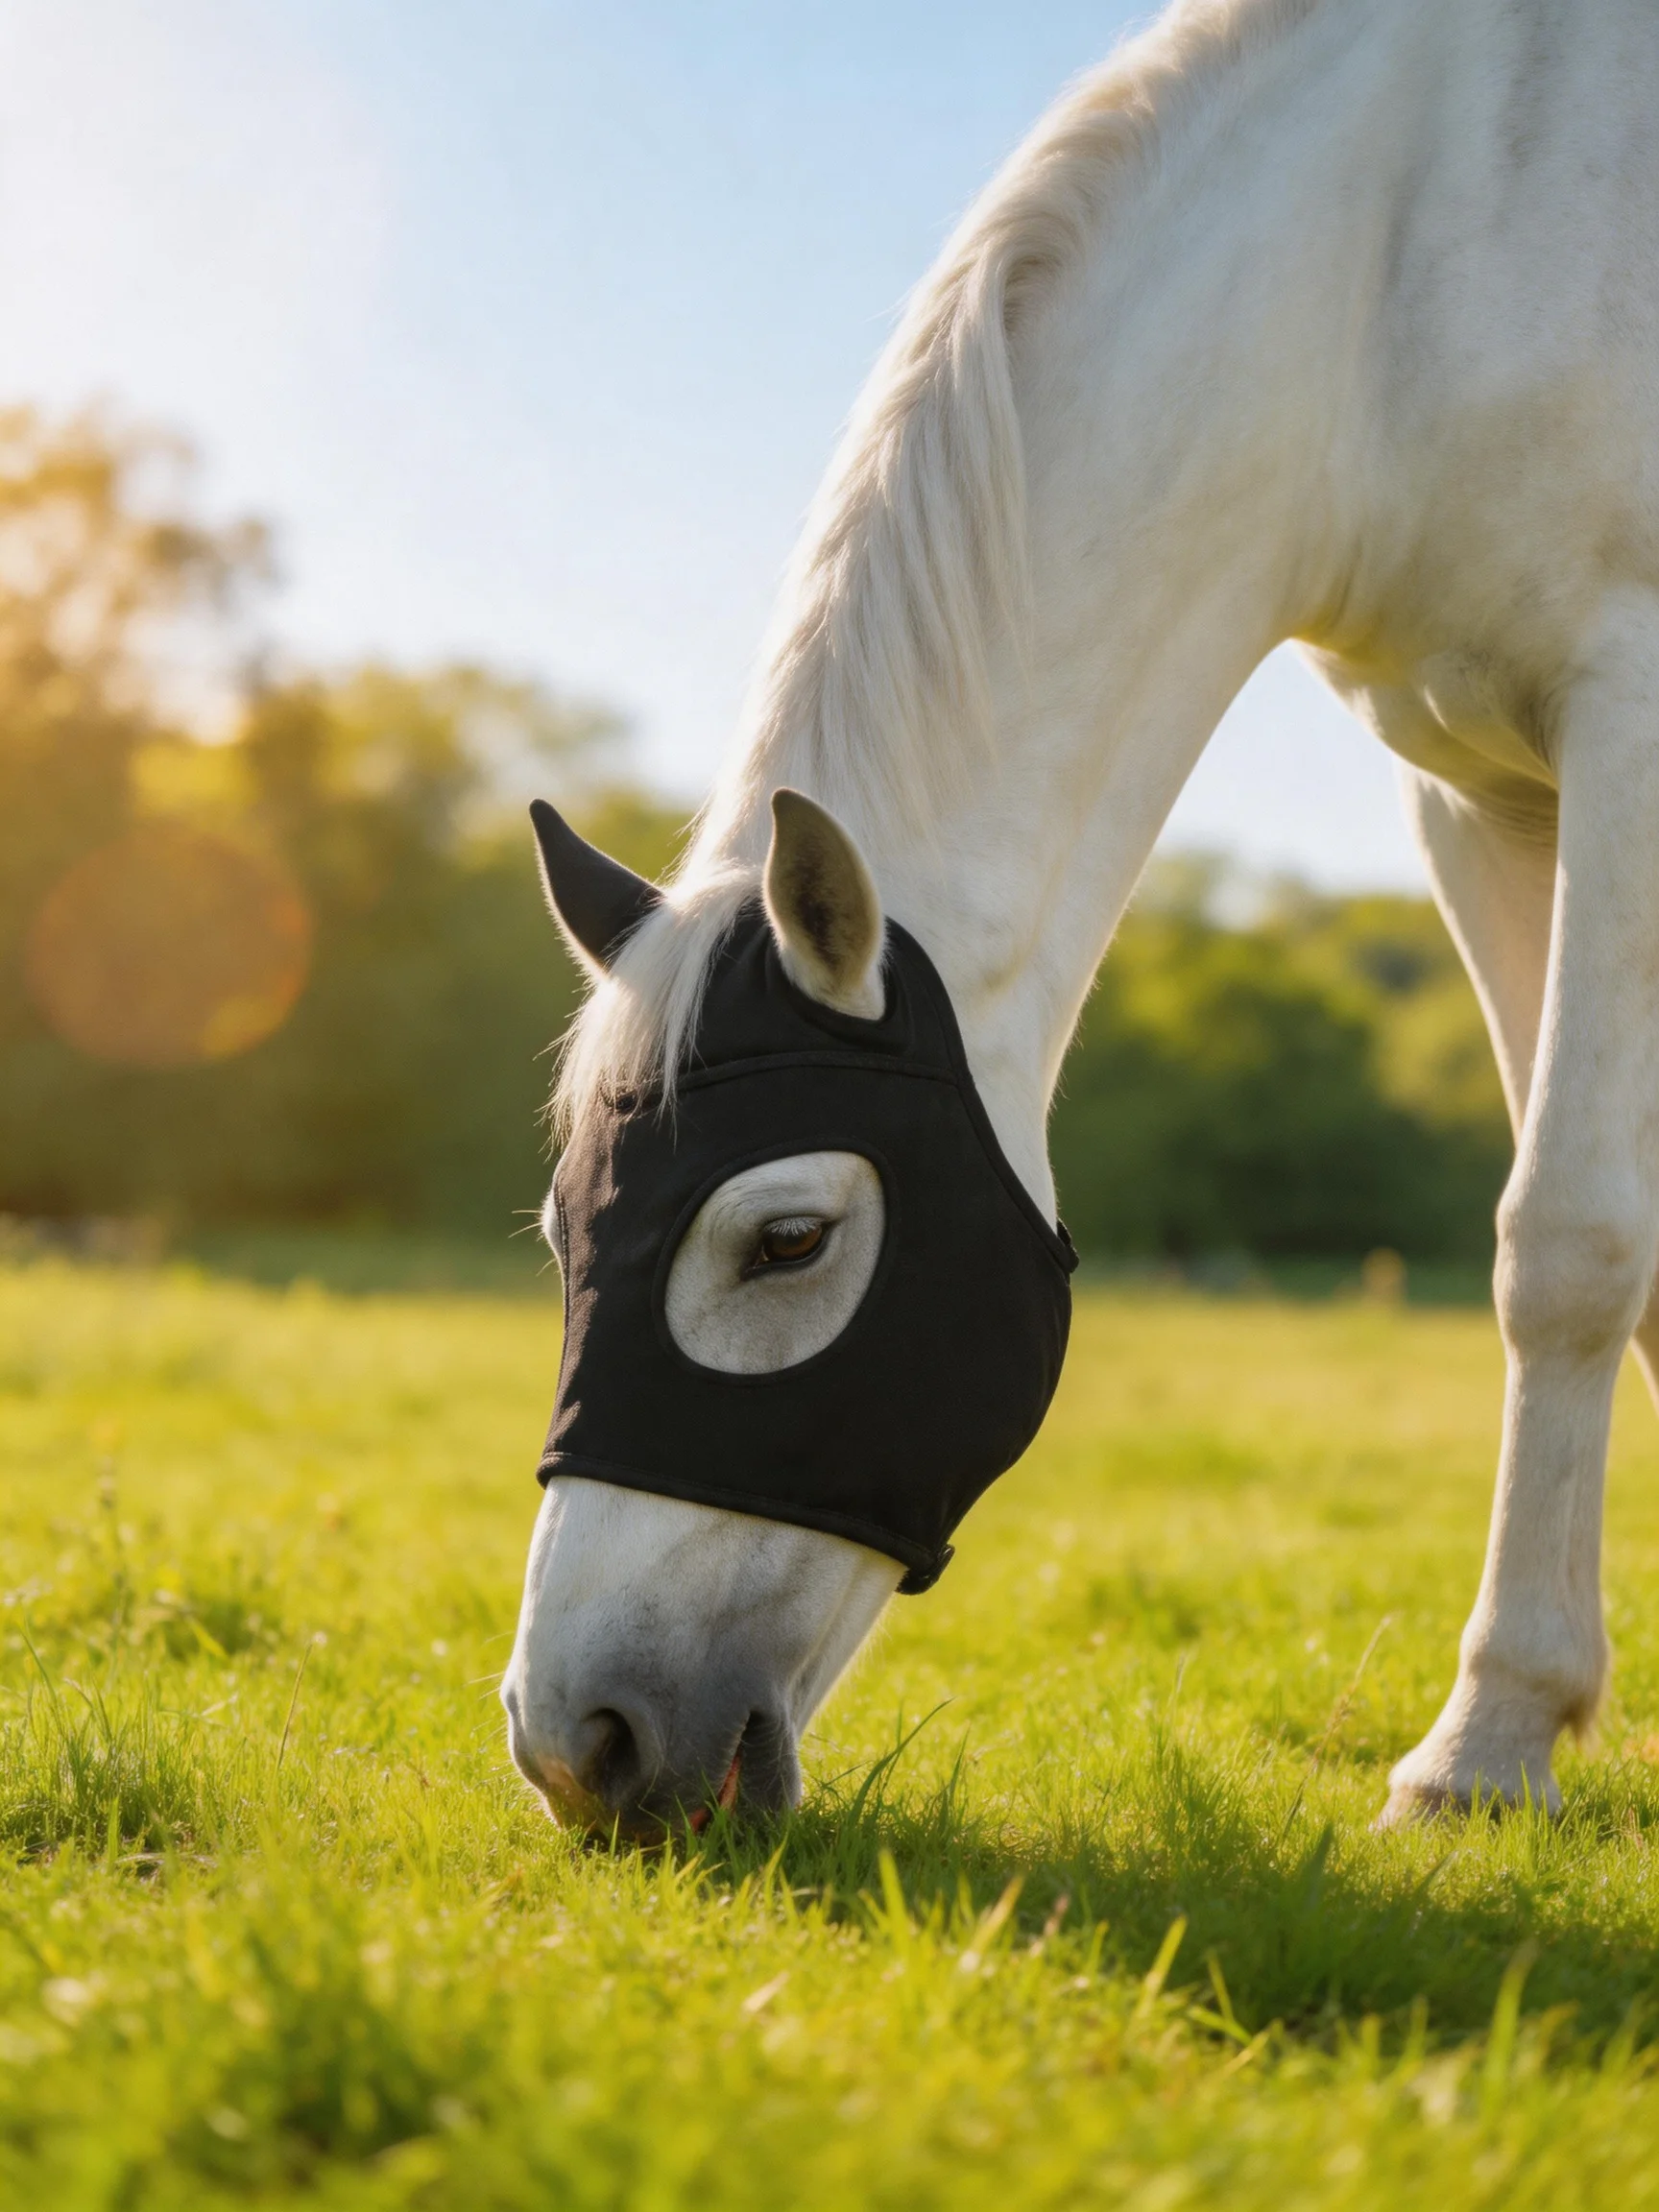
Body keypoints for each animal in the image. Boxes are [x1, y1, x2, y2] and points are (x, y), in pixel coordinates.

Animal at [500, 0, 1659, 1835]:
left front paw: (1483, 1748)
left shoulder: (1626, 708)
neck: (1399, 254)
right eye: (561, 1232)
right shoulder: (1479, 796)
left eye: (787, 1238)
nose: (577, 1747)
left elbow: (1568, 1240)